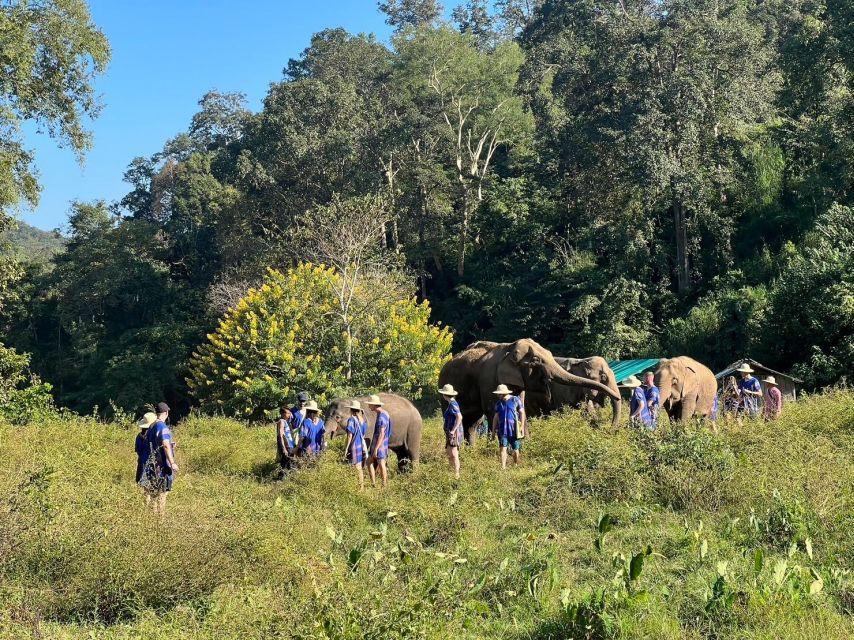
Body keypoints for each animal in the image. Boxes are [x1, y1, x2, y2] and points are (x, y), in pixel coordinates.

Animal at [442, 338, 620, 442]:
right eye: (536, 360)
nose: (609, 430)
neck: (508, 347)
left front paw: (526, 443)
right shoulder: (488, 380)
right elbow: (493, 410)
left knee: (473, 423)